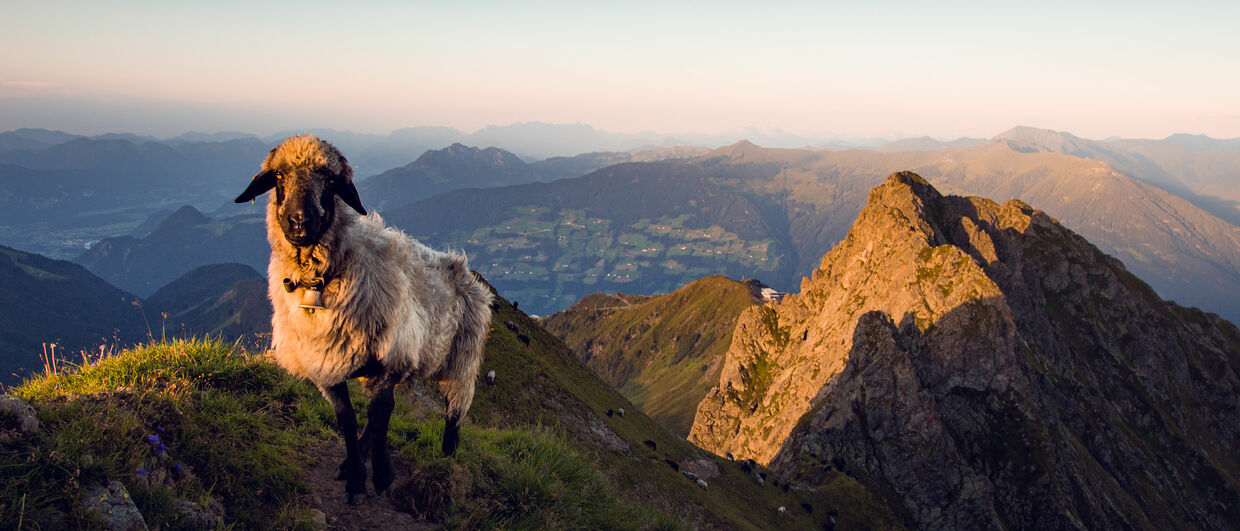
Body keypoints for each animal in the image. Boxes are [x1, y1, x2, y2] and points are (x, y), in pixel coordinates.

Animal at [234, 134, 491, 503]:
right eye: (279, 176)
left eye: (330, 181)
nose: (299, 221)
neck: (321, 278)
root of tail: (465, 269)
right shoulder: (325, 364)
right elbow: (349, 419)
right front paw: (356, 476)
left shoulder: (391, 356)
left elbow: (380, 415)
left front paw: (382, 475)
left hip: (461, 361)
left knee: (453, 413)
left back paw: (446, 460)